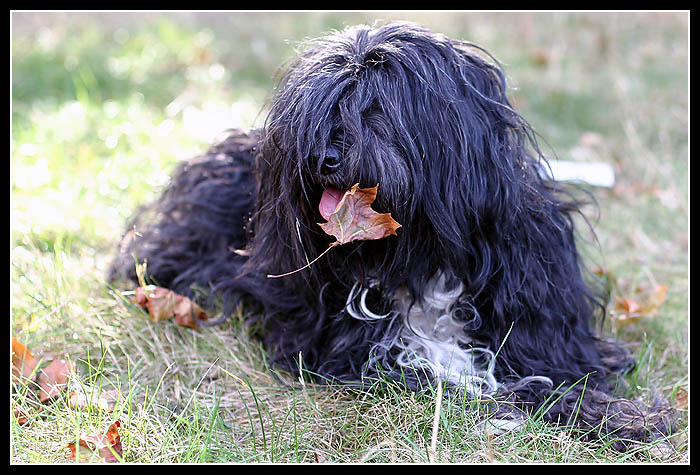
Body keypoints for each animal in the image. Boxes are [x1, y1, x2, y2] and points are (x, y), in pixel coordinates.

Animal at [112, 22, 676, 452]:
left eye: (378, 108)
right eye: (322, 111)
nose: (321, 157)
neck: (422, 258)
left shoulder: (549, 326)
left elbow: (561, 373)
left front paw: (621, 416)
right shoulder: (353, 350)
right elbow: (466, 378)